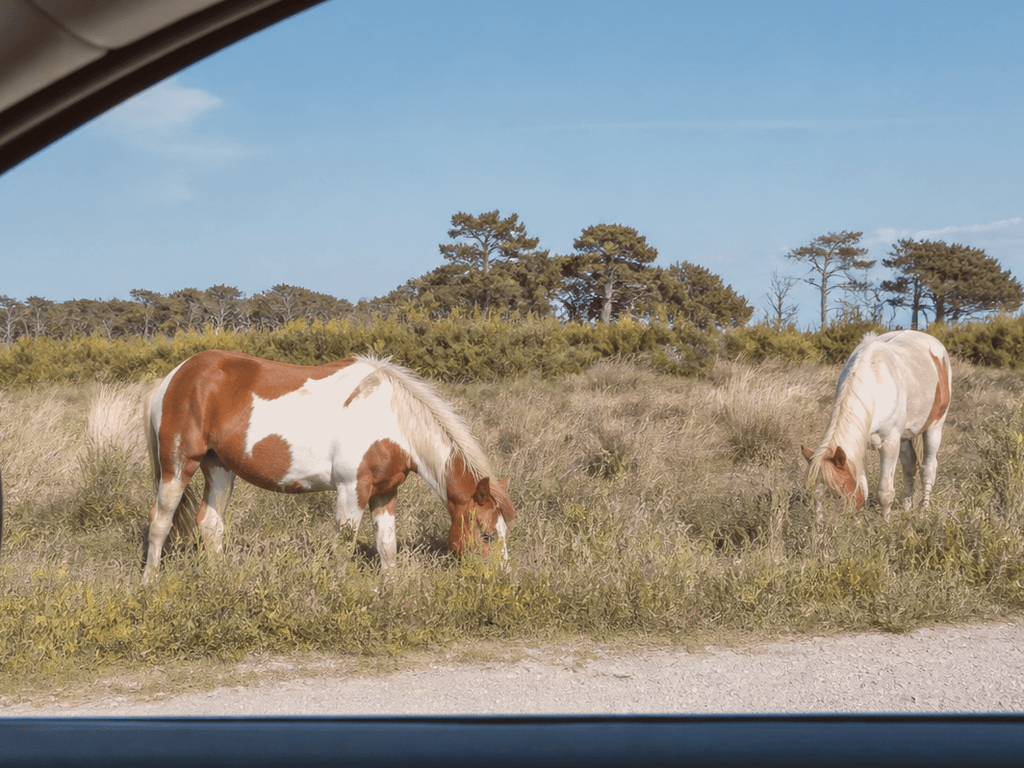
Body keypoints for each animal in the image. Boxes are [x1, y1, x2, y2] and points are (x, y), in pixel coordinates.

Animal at [142, 350, 514, 580]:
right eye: (485, 535)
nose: (503, 579)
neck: (392, 418)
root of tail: (175, 376)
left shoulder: (386, 490)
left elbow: (387, 545)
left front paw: (392, 589)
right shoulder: (352, 489)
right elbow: (344, 545)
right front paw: (339, 590)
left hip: (219, 468)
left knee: (210, 524)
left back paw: (220, 580)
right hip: (178, 465)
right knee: (160, 522)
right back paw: (150, 582)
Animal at [802, 329, 952, 520]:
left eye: (837, 494)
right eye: (813, 495)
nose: (822, 526)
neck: (875, 383)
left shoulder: (890, 444)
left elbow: (885, 492)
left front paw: (885, 523)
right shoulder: (861, 444)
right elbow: (863, 488)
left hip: (935, 428)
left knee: (928, 469)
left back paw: (923, 511)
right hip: (904, 438)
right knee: (909, 468)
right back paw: (907, 507)